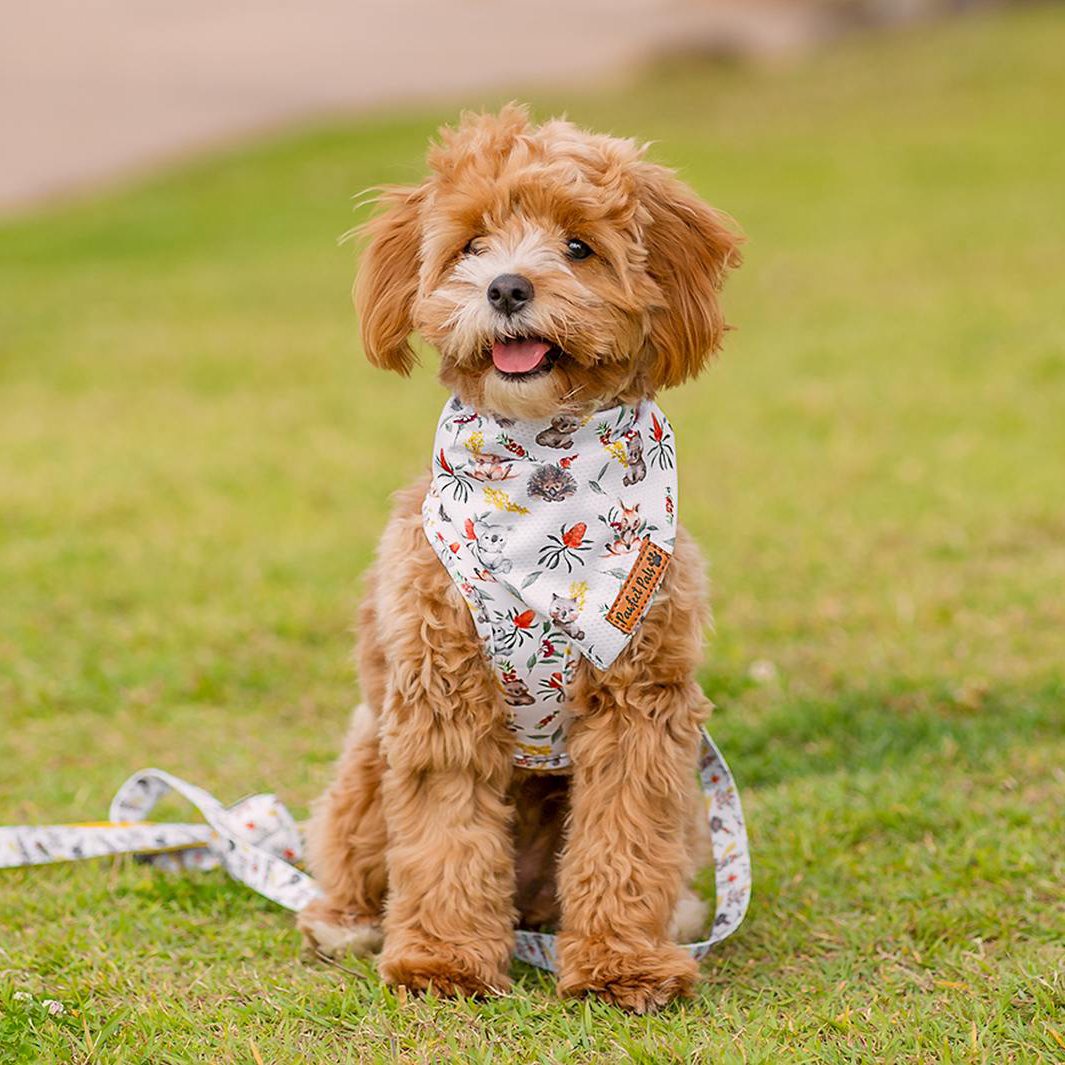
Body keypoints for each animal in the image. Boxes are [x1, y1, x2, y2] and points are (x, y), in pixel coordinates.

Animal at [296, 103, 745, 1009]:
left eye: (577, 245)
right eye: (471, 243)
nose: (506, 287)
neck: (542, 478)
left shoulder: (638, 702)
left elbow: (623, 839)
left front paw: (621, 962)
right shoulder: (440, 694)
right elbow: (445, 839)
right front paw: (439, 961)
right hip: (367, 752)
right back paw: (346, 918)